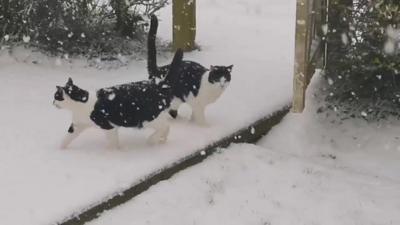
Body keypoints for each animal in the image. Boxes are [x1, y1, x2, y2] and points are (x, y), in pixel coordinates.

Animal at [52, 48, 183, 149]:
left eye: (55, 97)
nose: (52, 103)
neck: (81, 105)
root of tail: (160, 85)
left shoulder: (109, 127)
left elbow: (112, 143)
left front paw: (113, 154)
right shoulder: (77, 126)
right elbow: (66, 138)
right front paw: (59, 150)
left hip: (147, 118)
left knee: (165, 126)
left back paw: (152, 140)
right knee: (166, 126)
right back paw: (161, 140)